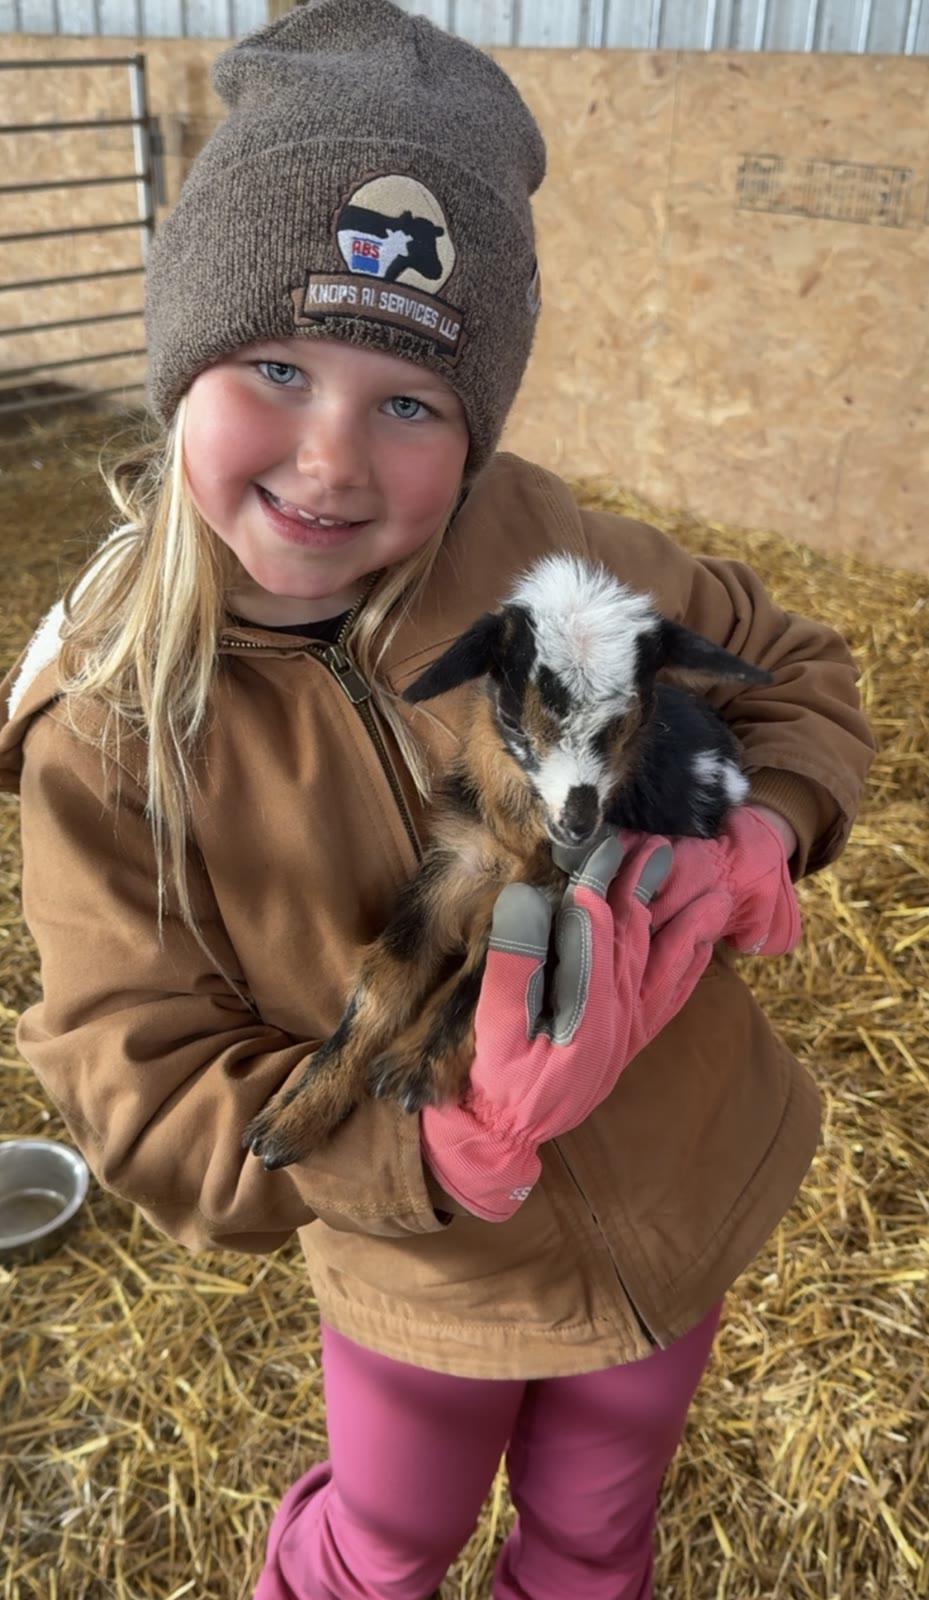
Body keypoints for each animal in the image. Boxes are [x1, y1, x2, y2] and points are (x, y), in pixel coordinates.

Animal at [243, 553, 772, 1171]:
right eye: (513, 720)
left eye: (628, 722)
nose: (577, 826)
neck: (519, 841)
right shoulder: (455, 865)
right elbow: (386, 978)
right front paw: (295, 1114)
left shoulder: (549, 890)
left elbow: (482, 977)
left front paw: (413, 1070)